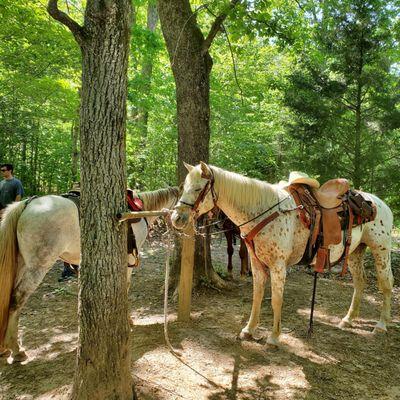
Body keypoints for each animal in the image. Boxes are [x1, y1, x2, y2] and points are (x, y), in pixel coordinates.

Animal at [0, 186, 178, 364]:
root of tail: (27, 204)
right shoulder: (128, 260)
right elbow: (125, 286)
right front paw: (128, 319)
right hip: (37, 267)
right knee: (17, 299)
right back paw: (17, 350)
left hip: (21, 264)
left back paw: (6, 348)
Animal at [172, 162, 394, 346]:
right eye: (184, 187)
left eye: (198, 189)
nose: (176, 218)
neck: (264, 212)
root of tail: (380, 204)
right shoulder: (256, 263)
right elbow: (257, 295)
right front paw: (249, 329)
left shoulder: (278, 266)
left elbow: (277, 299)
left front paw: (274, 336)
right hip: (356, 252)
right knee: (360, 282)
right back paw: (348, 319)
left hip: (381, 250)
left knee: (386, 283)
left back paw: (381, 325)